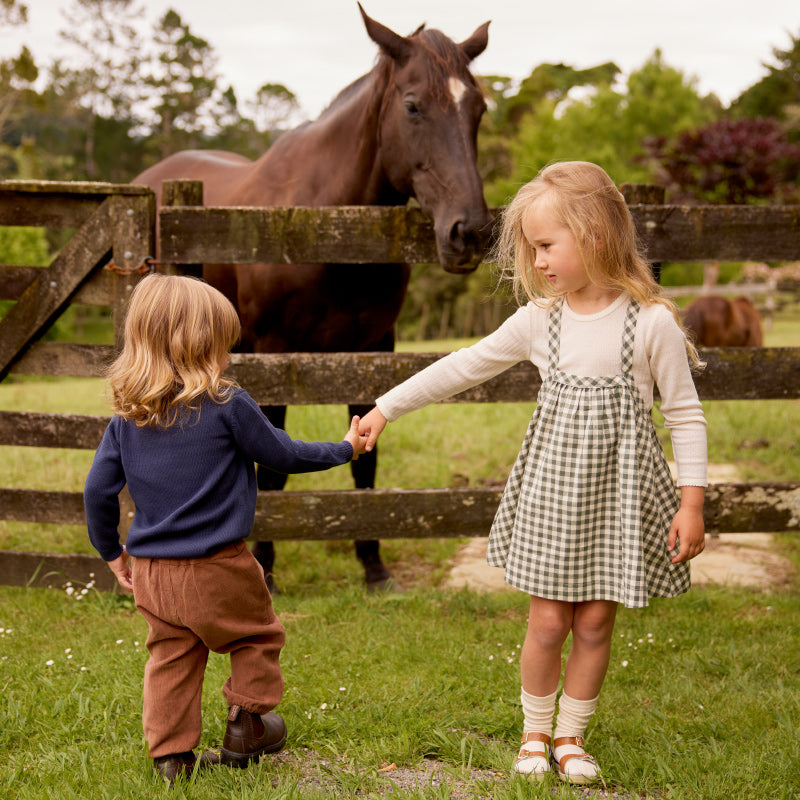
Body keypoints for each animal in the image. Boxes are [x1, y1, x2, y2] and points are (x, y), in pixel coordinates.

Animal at [133, 3, 494, 592]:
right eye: (412, 105)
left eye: (478, 109)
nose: (472, 232)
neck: (324, 224)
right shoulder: (277, 351)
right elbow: (272, 470)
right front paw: (265, 568)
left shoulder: (372, 349)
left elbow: (366, 459)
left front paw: (374, 566)